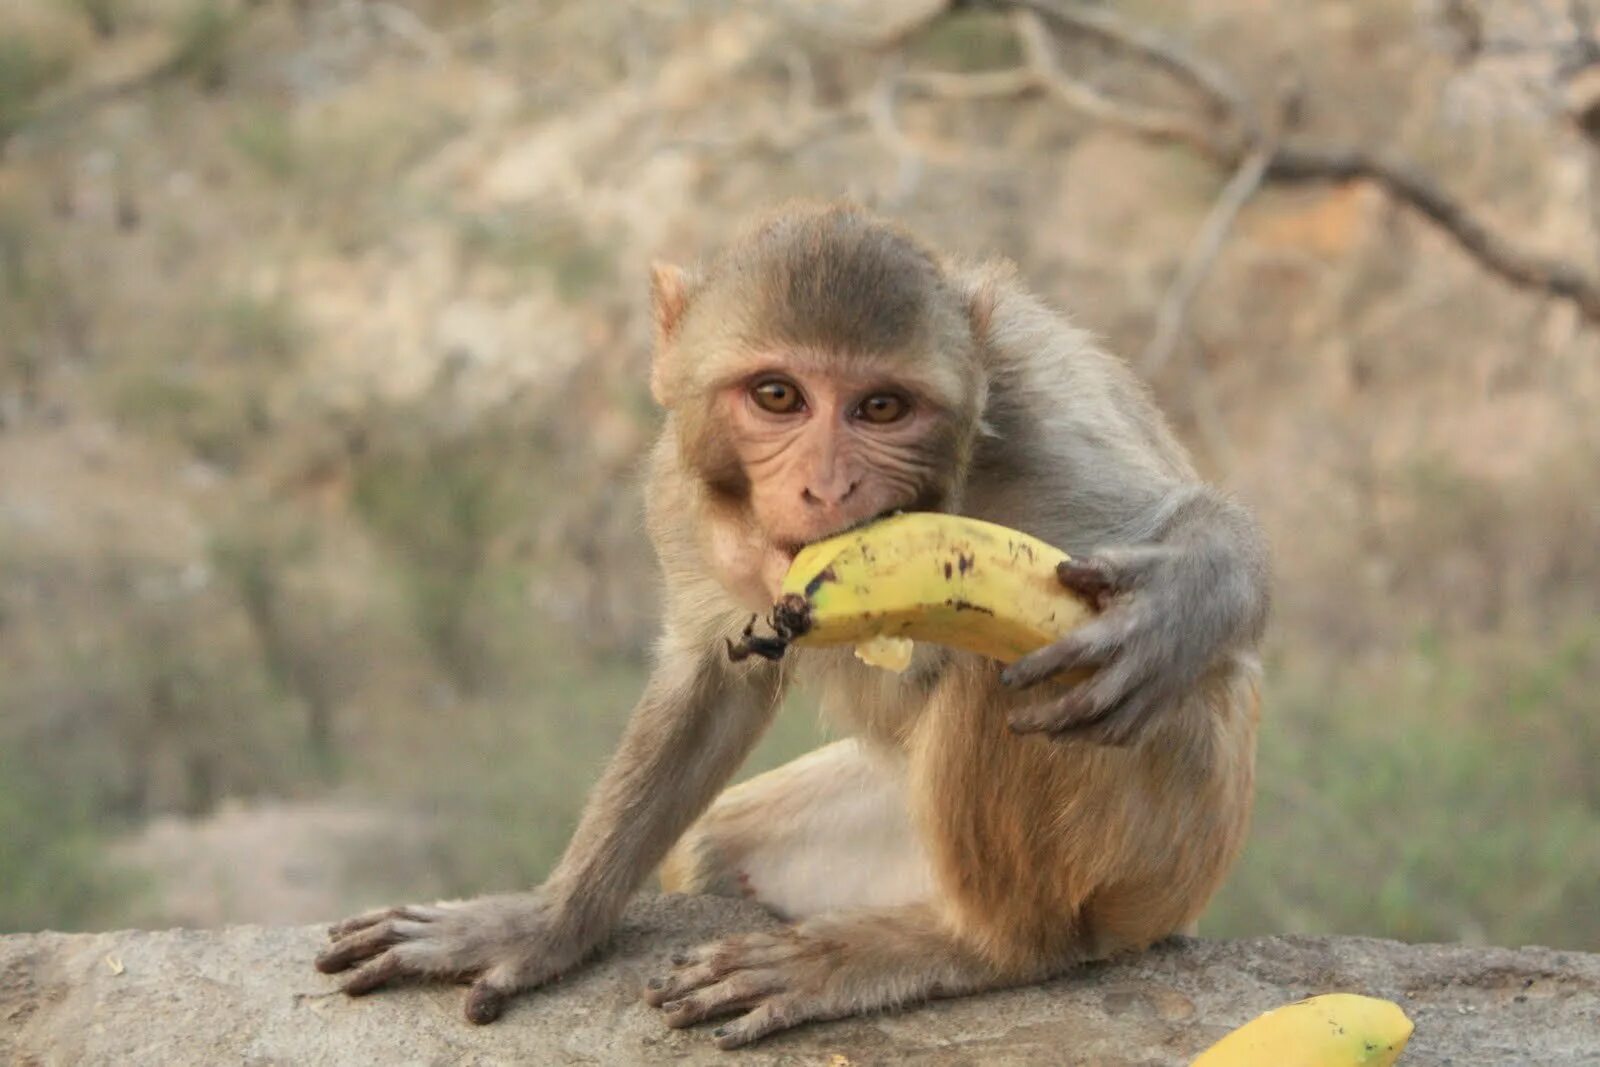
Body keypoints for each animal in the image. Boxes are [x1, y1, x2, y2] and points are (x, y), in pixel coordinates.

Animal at [318, 199, 1267, 1049]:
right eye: (779, 396)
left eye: (881, 408)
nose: (826, 486)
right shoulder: (677, 491)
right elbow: (710, 675)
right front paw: (549, 922)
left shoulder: (1052, 441)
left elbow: (1202, 545)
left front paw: (1175, 607)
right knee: (711, 845)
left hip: (1163, 845)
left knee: (998, 672)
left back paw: (970, 944)